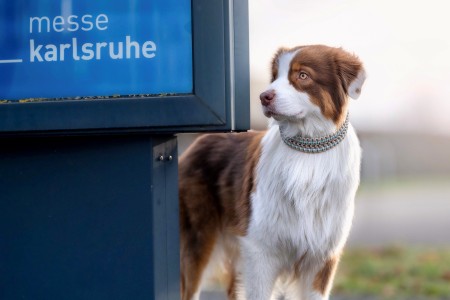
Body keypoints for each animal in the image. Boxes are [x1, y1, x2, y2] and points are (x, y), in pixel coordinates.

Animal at [178, 45, 366, 300]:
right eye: (275, 76)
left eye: (302, 75)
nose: (263, 97)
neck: (308, 151)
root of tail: (200, 140)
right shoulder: (261, 251)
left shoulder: (322, 258)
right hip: (199, 240)